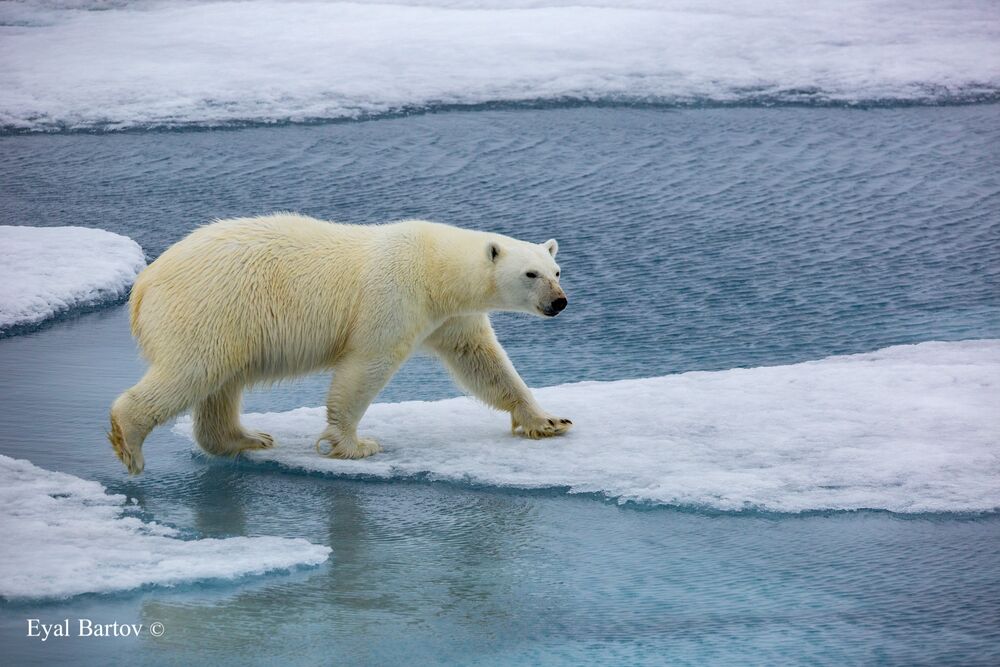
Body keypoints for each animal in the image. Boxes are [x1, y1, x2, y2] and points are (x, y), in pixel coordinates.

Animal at [108, 215, 572, 474]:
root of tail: (143, 284)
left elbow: (483, 361)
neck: (435, 269)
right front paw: (355, 445)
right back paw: (129, 441)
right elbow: (366, 365)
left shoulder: (451, 316)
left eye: (556, 270)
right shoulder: (394, 297)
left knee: (221, 382)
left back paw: (248, 438)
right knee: (193, 370)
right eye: (531, 274)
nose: (559, 302)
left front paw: (549, 421)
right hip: (209, 306)